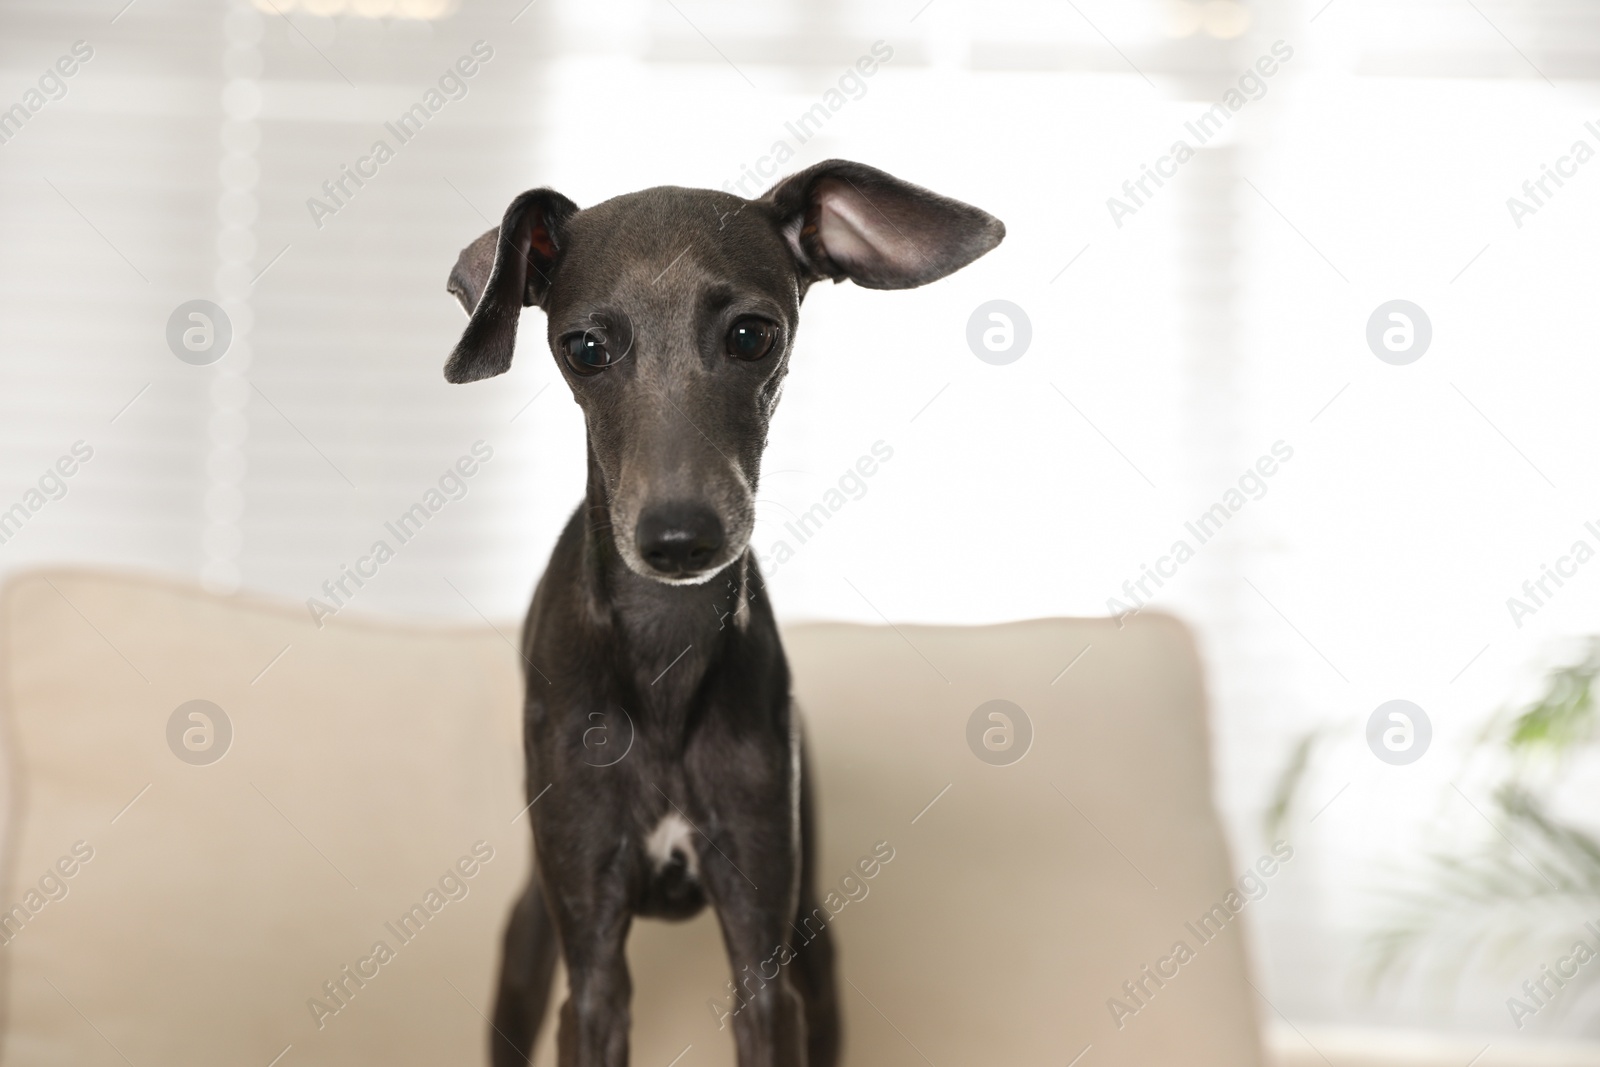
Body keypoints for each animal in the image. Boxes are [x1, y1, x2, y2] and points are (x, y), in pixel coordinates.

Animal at [441, 158, 998, 1067]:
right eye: (584, 347)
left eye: (751, 335)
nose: (678, 537)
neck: (665, 659)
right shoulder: (591, 968)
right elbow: (595, 991)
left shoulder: (764, 951)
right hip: (530, 936)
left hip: (813, 936)